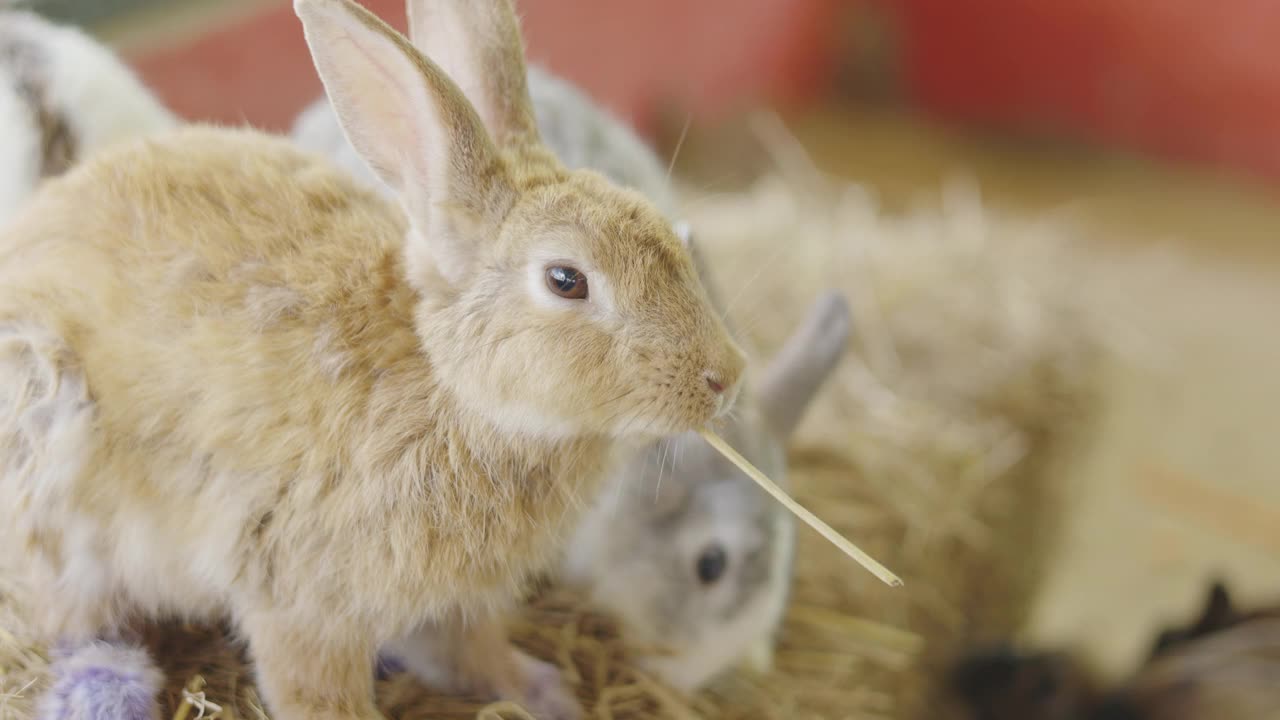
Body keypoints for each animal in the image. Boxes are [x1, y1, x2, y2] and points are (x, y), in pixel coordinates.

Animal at [0, 1, 747, 717]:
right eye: (566, 280)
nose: (725, 377)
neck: (450, 385)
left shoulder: (451, 602)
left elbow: (471, 651)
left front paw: (545, 693)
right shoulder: (300, 597)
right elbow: (314, 691)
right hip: (51, 452)